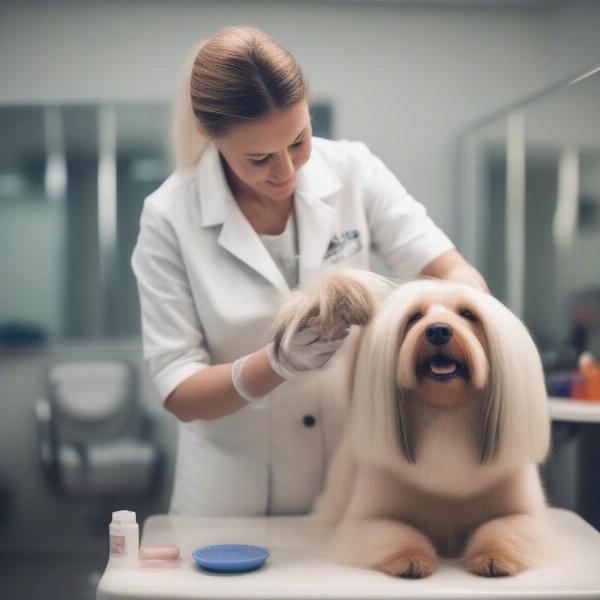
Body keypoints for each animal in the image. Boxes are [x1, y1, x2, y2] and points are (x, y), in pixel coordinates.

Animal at [272, 270, 552, 576]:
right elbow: (397, 533)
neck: (446, 417)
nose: (438, 330)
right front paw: (410, 560)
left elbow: (502, 528)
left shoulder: (523, 515)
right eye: (415, 317)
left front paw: (493, 557)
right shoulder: (370, 519)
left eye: (467, 314)